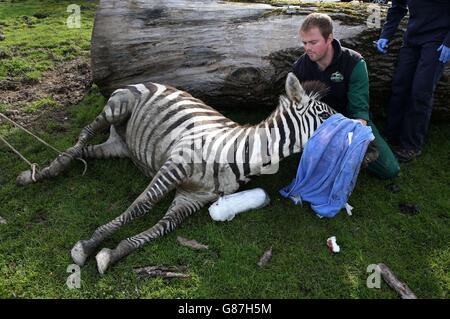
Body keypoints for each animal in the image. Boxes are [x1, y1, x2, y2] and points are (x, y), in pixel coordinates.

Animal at [17, 73, 352, 276]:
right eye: (326, 115)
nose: (360, 127)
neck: (240, 153)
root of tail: (157, 81)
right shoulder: (174, 166)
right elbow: (141, 205)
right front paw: (88, 246)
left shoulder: (193, 197)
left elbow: (161, 227)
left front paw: (111, 254)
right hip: (117, 107)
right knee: (85, 134)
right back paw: (45, 172)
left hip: (118, 146)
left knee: (85, 149)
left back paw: (43, 170)